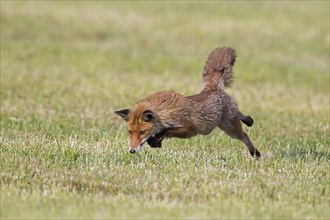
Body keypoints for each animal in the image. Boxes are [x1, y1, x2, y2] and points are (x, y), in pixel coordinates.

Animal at [114, 46, 262, 157]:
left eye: (141, 132)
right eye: (130, 132)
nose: (132, 151)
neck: (165, 113)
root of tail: (212, 88)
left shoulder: (188, 129)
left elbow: (166, 131)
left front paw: (155, 141)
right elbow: (161, 134)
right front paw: (155, 142)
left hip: (230, 128)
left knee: (244, 134)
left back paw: (255, 152)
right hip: (226, 124)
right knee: (240, 116)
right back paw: (249, 120)